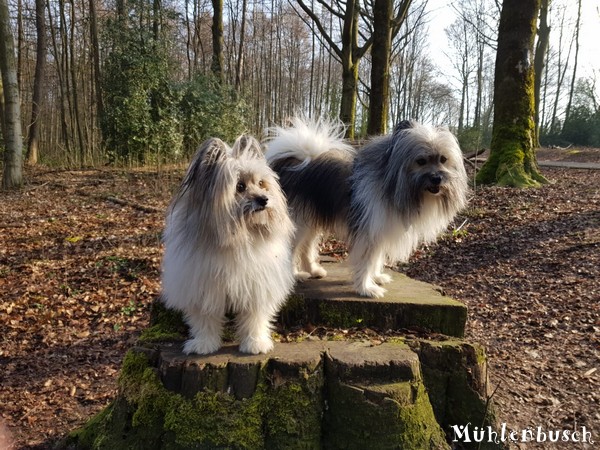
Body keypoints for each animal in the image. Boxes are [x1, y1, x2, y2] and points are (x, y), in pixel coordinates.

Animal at [162, 135, 296, 354]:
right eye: (239, 186)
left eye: (261, 183)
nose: (264, 199)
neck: (237, 238)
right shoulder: (202, 287)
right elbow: (205, 319)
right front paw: (204, 343)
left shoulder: (255, 286)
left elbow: (254, 317)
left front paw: (255, 343)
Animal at [266, 118, 468, 298]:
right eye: (421, 161)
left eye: (443, 159)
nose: (437, 178)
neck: (391, 182)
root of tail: (290, 164)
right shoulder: (369, 232)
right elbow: (367, 262)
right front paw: (367, 288)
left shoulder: (380, 230)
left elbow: (376, 259)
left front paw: (376, 278)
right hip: (298, 223)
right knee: (291, 249)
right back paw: (294, 276)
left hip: (310, 220)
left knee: (306, 247)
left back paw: (314, 270)